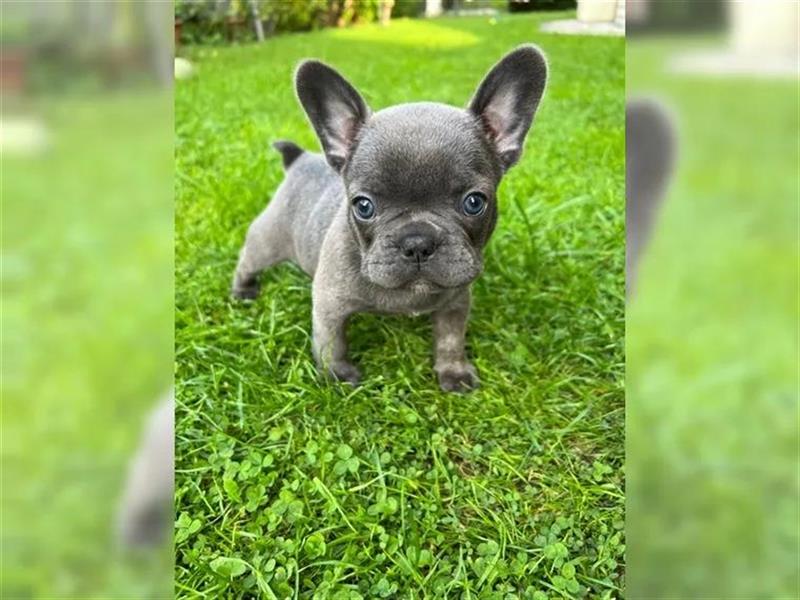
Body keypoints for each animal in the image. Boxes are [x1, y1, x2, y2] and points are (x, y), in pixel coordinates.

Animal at [230, 48, 544, 394]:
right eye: (363, 206)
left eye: (474, 203)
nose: (418, 241)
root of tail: (299, 159)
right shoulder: (329, 304)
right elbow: (331, 343)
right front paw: (337, 375)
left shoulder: (455, 303)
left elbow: (450, 341)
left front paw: (454, 372)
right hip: (267, 241)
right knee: (247, 260)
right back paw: (243, 291)